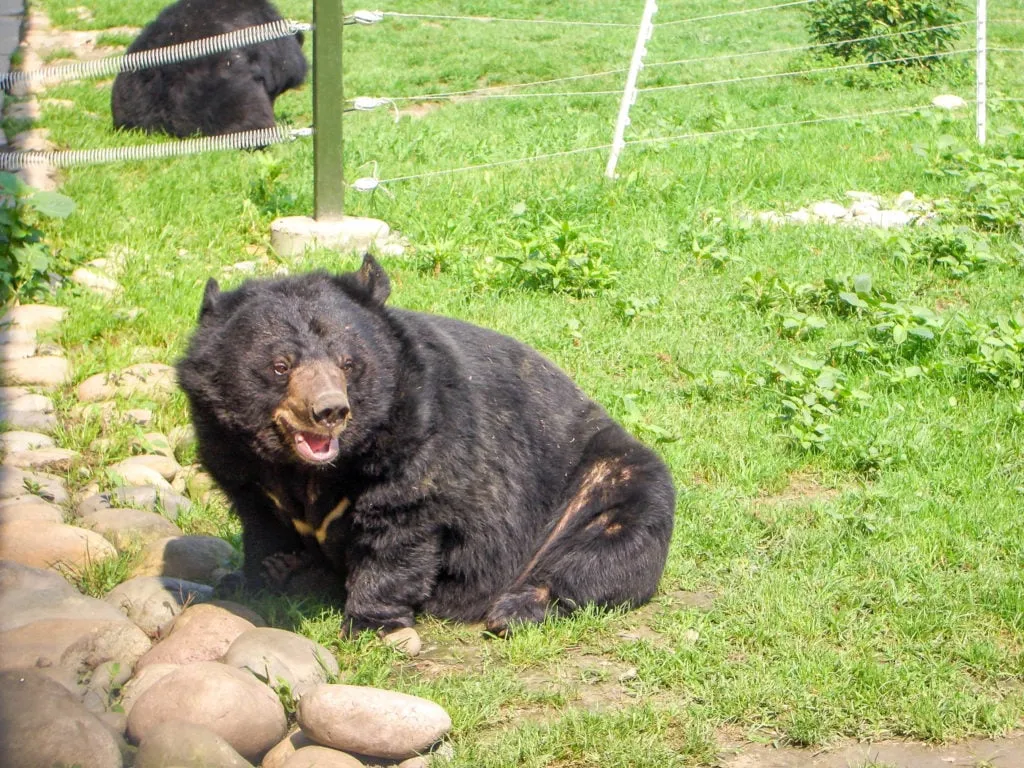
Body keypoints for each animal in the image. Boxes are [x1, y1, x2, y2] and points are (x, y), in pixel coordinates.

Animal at [176, 254, 676, 636]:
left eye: (348, 363)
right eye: (281, 365)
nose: (330, 410)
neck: (307, 467)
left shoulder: (417, 431)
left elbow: (401, 525)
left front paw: (371, 621)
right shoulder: (230, 450)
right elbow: (260, 521)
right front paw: (260, 575)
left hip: (604, 480)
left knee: (608, 547)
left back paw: (516, 607)